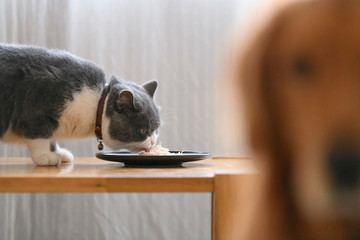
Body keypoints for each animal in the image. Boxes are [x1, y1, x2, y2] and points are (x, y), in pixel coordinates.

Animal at [0, 43, 160, 166]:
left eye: (156, 129)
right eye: (143, 131)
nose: (153, 143)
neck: (96, 102)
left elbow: (51, 137)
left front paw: (58, 153)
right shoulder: (37, 109)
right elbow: (40, 136)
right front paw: (44, 156)